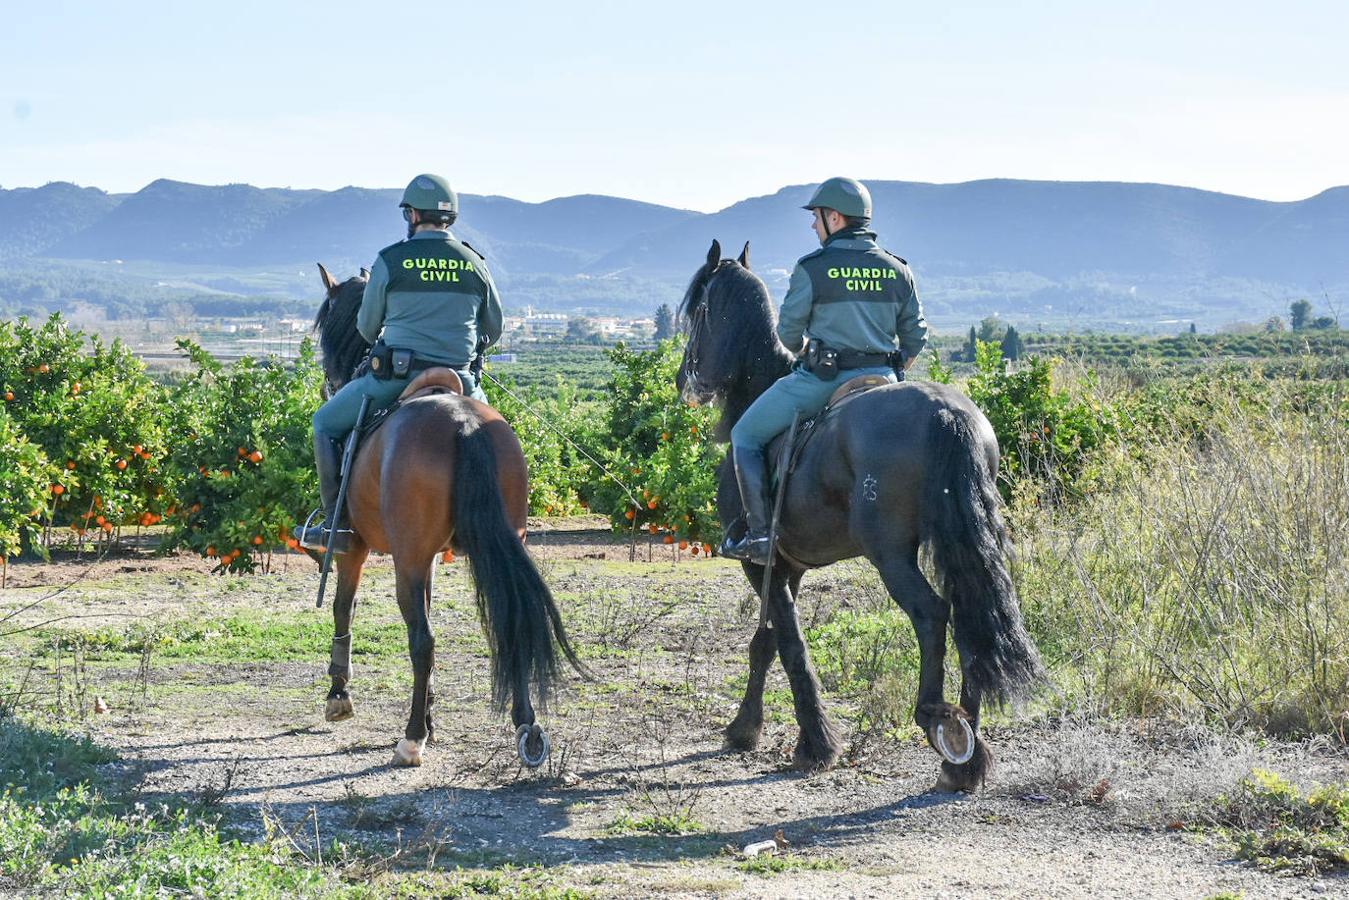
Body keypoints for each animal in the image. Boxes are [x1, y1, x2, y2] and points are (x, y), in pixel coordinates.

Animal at [310, 264, 585, 771]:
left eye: (326, 327)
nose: (327, 383)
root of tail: (464, 424)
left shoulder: (358, 549)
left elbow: (344, 607)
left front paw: (340, 694)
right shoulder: (433, 559)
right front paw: (433, 715)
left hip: (406, 558)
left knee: (423, 640)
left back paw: (411, 739)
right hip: (496, 541)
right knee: (508, 625)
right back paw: (527, 729)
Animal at [674, 242, 1041, 793]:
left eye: (698, 310)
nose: (684, 381)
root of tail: (944, 411)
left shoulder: (761, 563)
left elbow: (788, 644)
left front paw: (814, 743)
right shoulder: (788, 567)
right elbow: (767, 642)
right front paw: (746, 729)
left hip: (890, 553)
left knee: (932, 614)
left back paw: (937, 719)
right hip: (963, 542)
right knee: (969, 617)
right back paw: (966, 755)